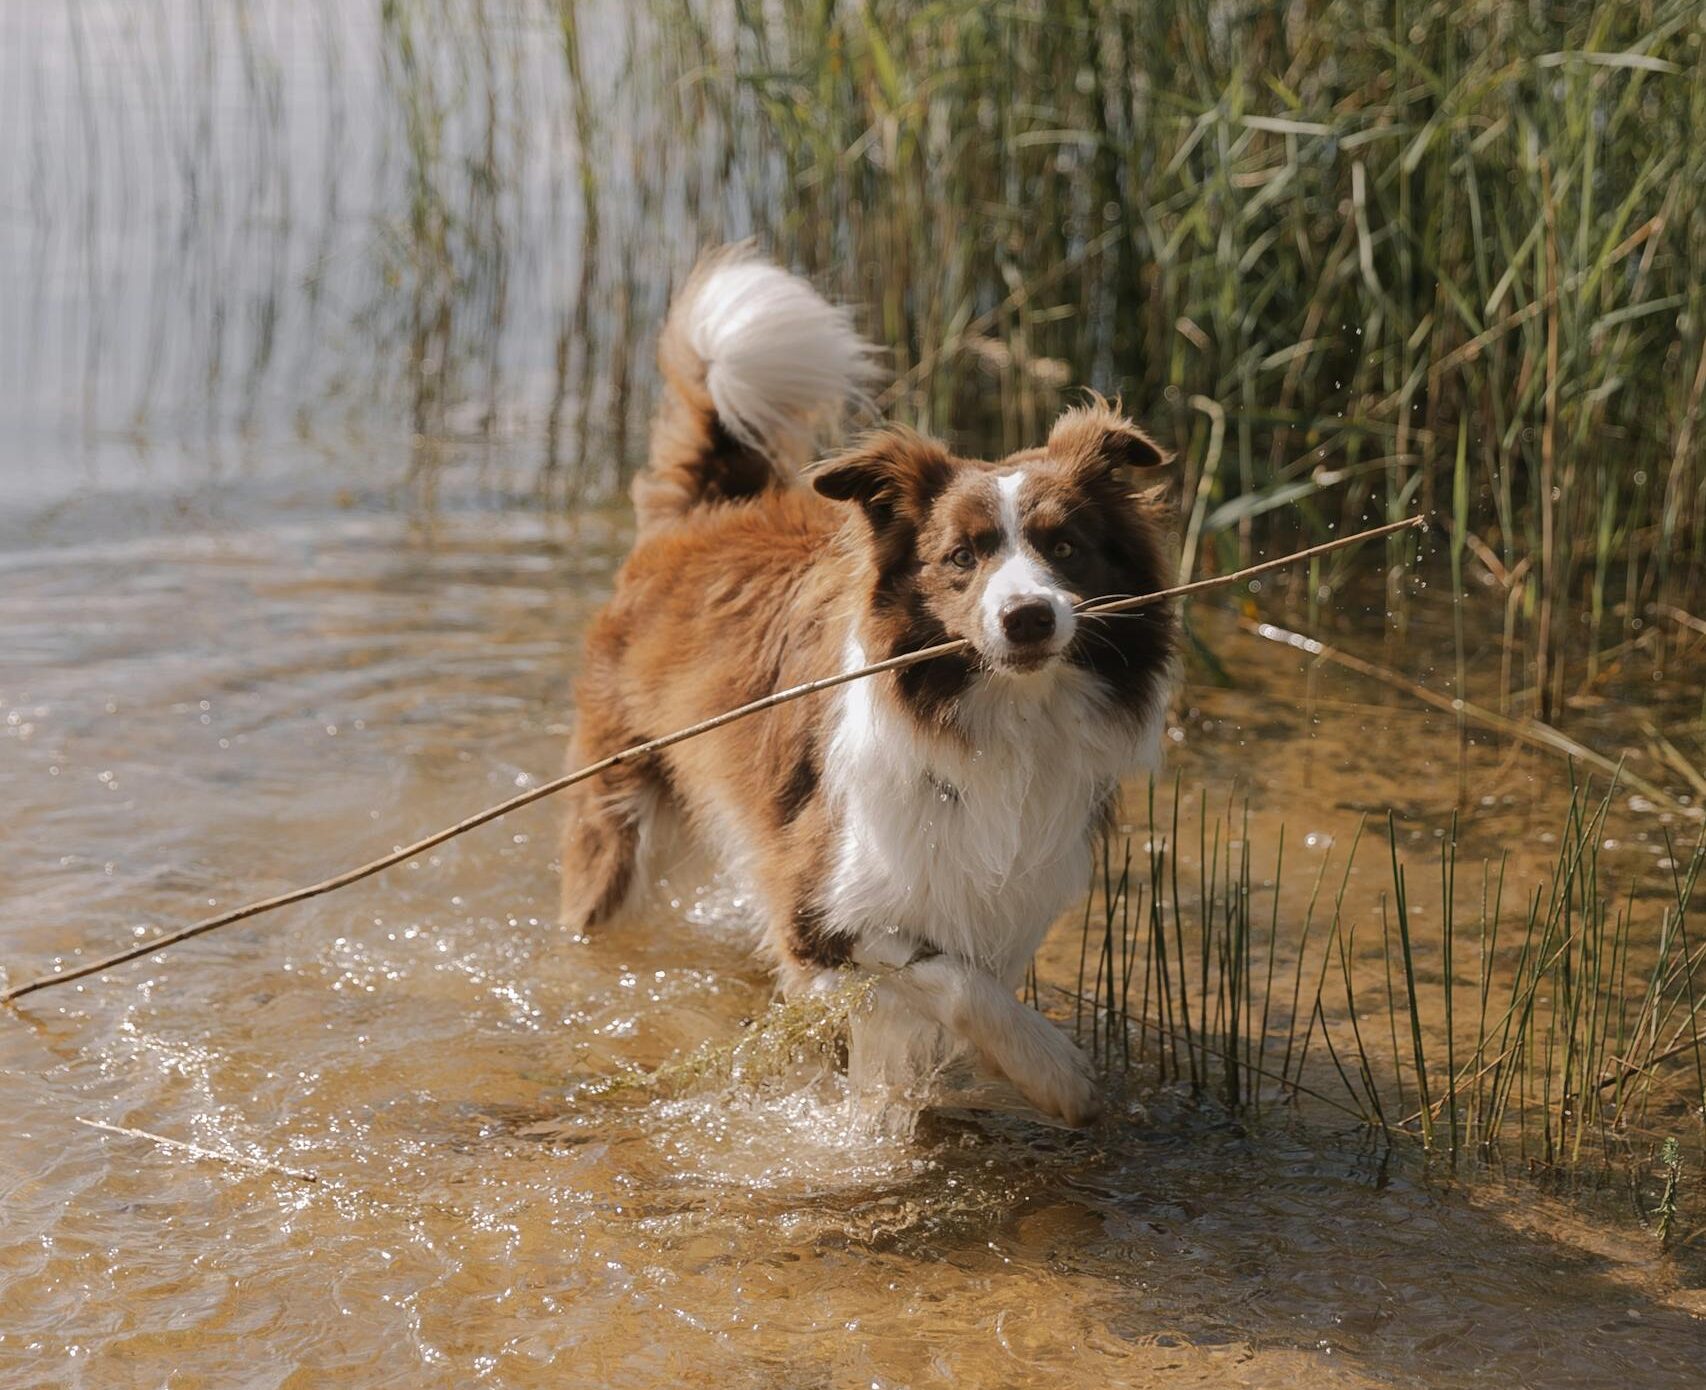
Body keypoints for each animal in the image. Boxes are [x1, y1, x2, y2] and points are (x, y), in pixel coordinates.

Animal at [559, 247, 1173, 1118]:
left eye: (1066, 547)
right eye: (961, 556)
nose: (1027, 618)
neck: (999, 719)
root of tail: (701, 515)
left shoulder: (1009, 892)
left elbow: (968, 983)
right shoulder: (816, 907)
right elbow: (944, 976)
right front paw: (1055, 1071)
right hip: (618, 810)